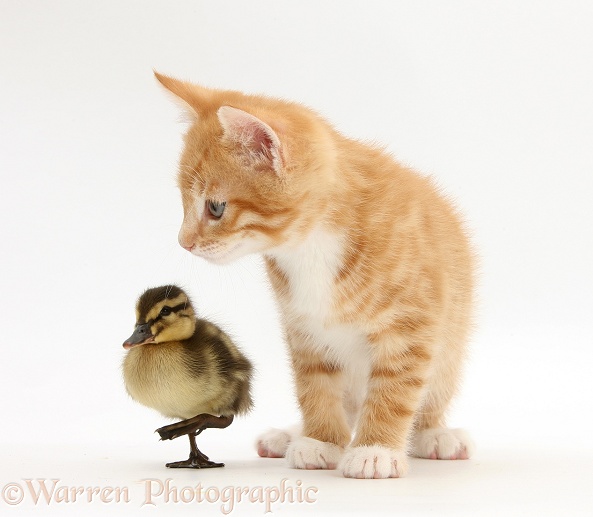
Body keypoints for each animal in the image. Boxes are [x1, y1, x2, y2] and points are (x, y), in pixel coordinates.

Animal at [155, 70, 474, 478]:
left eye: (215, 207)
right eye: (183, 201)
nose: (184, 242)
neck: (309, 245)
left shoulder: (411, 326)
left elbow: (394, 389)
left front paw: (375, 450)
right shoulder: (303, 328)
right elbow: (314, 385)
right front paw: (320, 440)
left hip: (451, 347)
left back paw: (434, 434)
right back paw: (291, 434)